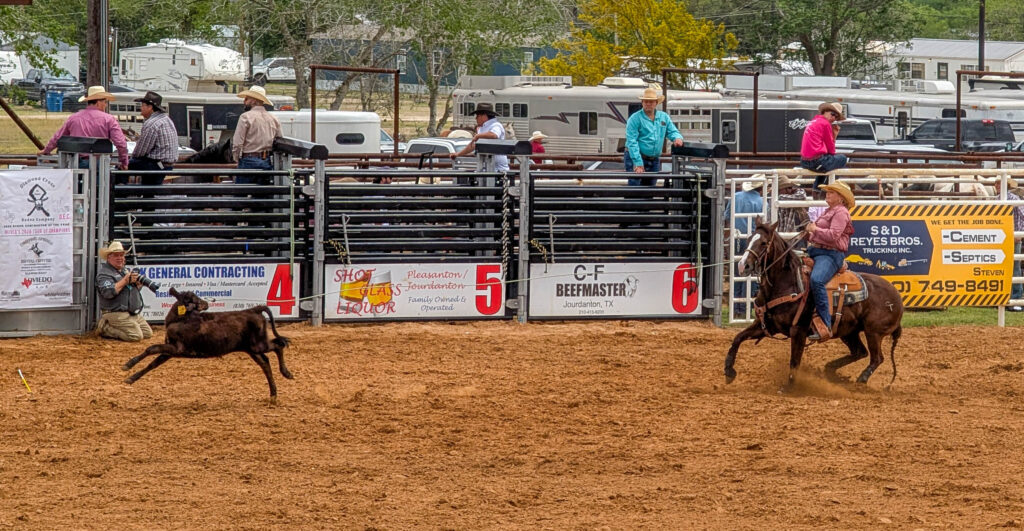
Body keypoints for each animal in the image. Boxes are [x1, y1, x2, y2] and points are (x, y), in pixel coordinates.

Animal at [724, 222, 904, 386]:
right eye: (748, 239)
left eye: (763, 242)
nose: (743, 265)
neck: (786, 283)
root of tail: (897, 296)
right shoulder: (766, 325)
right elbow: (737, 338)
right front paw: (728, 371)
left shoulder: (799, 330)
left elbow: (794, 362)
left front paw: (789, 388)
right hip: (849, 331)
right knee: (860, 352)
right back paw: (831, 371)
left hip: (873, 332)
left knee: (877, 358)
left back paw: (860, 381)